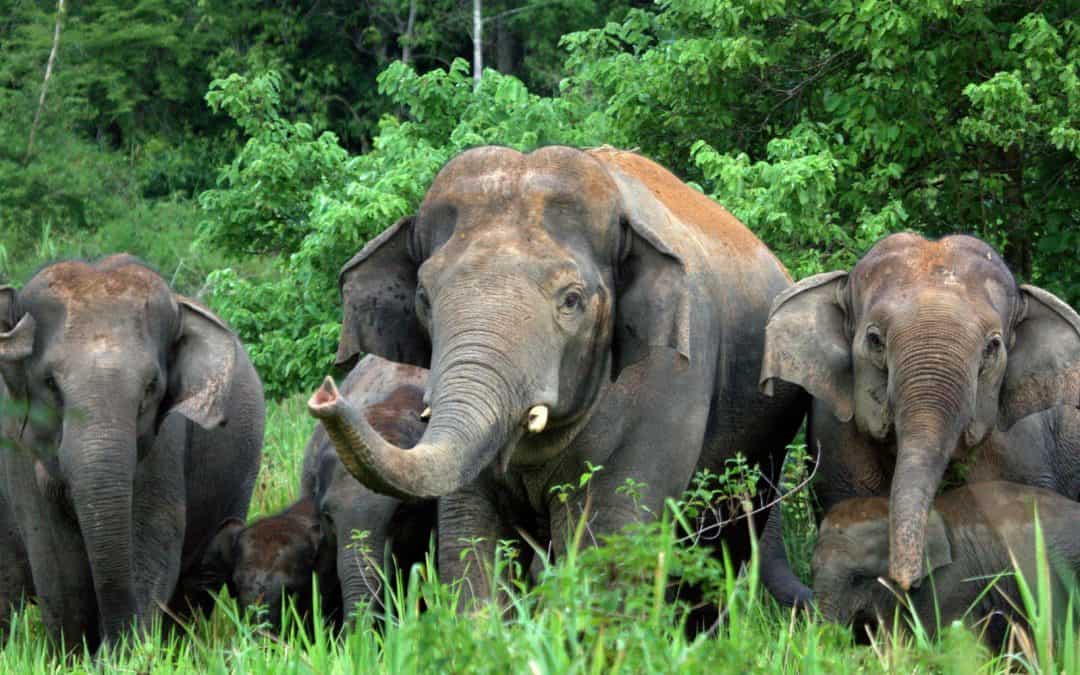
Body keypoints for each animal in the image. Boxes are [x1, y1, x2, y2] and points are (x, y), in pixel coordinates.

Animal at [0, 256, 264, 652]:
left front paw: (124, 655)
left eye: (151, 386)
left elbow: (153, 530)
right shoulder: (18, 442)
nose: (113, 642)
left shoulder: (165, 437)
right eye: (50, 383)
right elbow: (51, 551)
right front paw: (74, 656)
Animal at [308, 145, 807, 605]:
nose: (324, 395)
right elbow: (469, 532)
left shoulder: (670, 378)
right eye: (424, 299)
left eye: (572, 300)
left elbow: (609, 532)